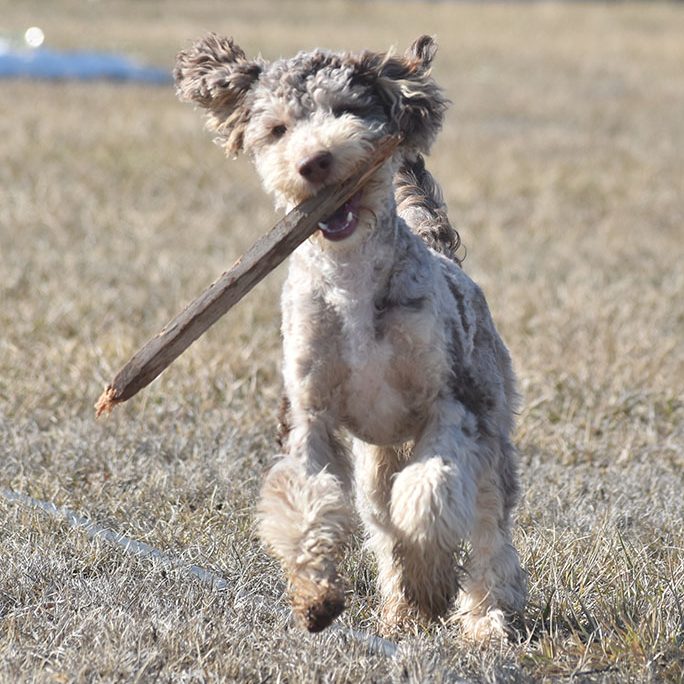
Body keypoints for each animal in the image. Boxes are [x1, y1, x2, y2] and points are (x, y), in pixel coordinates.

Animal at [174, 33, 528, 640]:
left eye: (346, 109)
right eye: (278, 129)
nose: (314, 161)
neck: (352, 283)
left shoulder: (449, 400)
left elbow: (430, 492)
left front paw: (433, 565)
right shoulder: (308, 411)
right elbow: (306, 500)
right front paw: (316, 596)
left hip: (491, 423)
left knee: (486, 531)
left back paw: (483, 619)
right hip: (375, 459)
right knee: (383, 527)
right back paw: (404, 608)